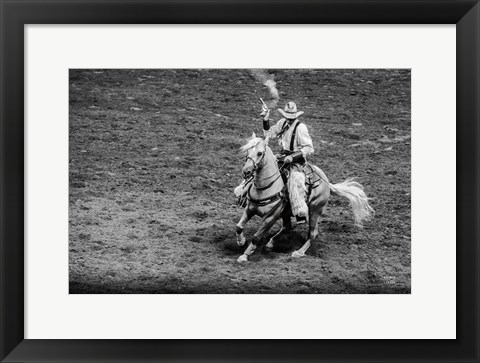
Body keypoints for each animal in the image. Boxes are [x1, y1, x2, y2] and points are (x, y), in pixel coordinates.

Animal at [234, 132, 374, 264]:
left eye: (259, 153)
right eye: (247, 151)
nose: (246, 171)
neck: (265, 188)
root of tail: (326, 182)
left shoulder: (270, 217)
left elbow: (256, 237)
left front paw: (245, 255)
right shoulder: (250, 209)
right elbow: (239, 226)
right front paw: (241, 242)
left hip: (314, 211)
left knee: (312, 233)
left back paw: (299, 252)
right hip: (287, 213)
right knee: (287, 227)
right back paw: (270, 243)